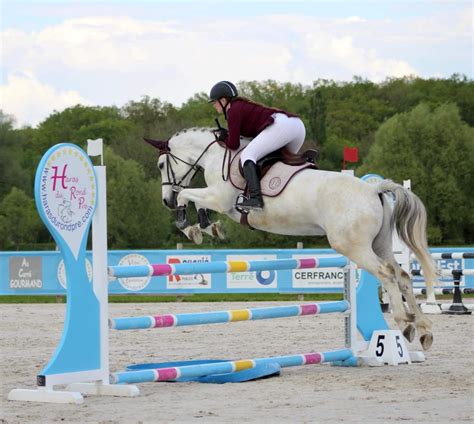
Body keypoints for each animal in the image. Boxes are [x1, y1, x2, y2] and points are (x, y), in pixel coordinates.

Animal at [147, 126, 436, 352]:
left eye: (161, 165)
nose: (165, 201)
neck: (217, 154)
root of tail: (374, 189)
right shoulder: (218, 200)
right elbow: (197, 202)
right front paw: (207, 228)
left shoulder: (220, 198)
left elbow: (189, 196)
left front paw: (191, 228)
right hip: (381, 243)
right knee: (402, 276)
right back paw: (423, 330)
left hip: (353, 246)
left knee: (386, 274)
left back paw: (405, 323)